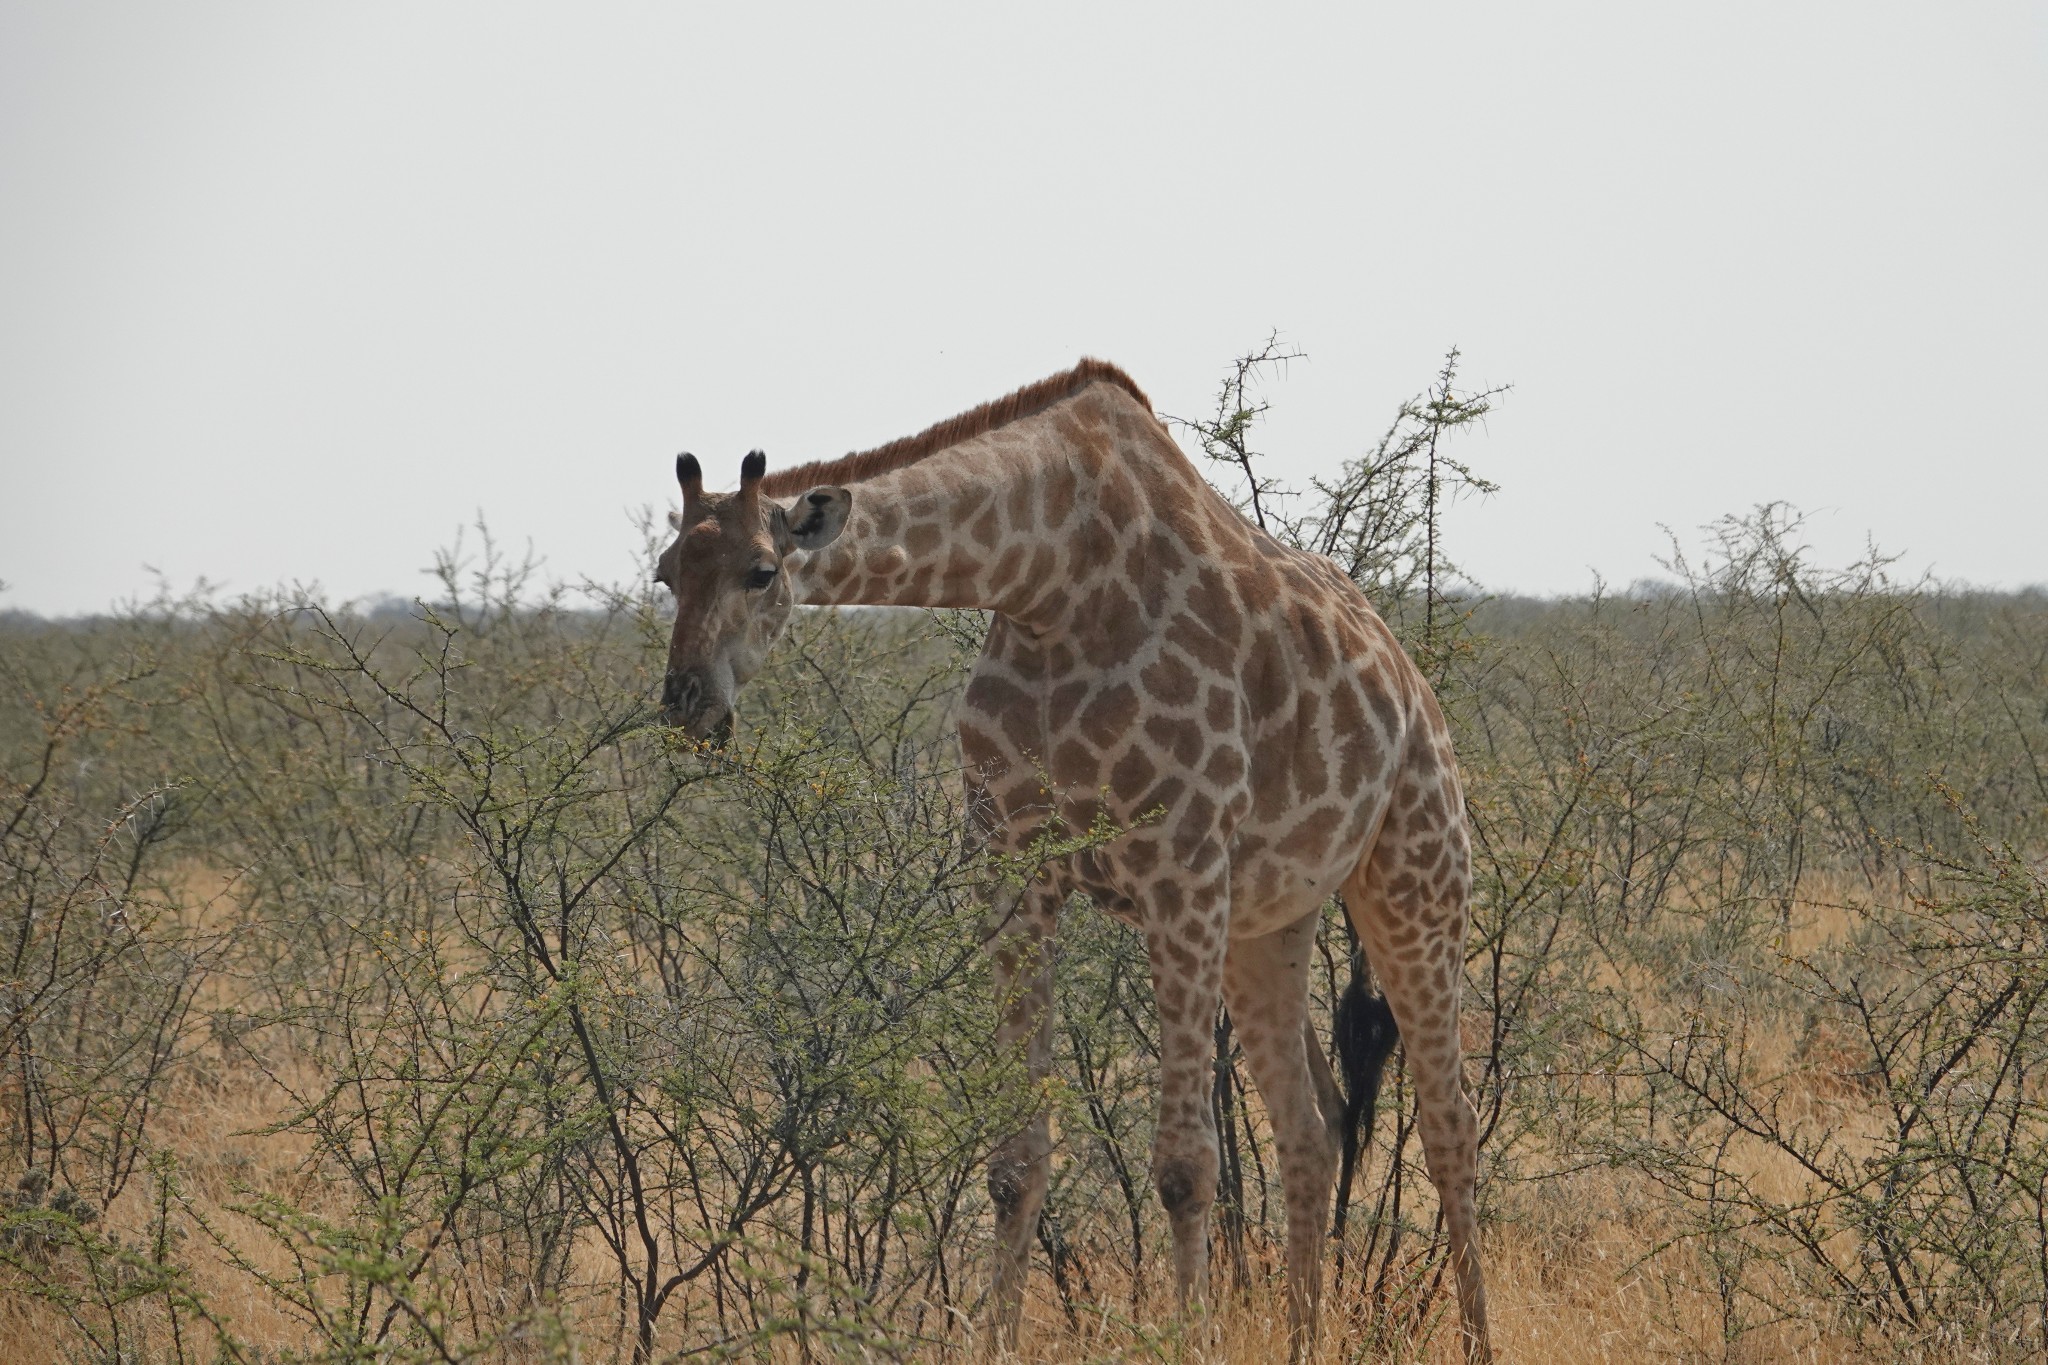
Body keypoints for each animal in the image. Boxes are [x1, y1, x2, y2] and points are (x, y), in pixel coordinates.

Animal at [663, 358, 1499, 1358]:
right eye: (666, 574)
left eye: (760, 571)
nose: (686, 702)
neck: (1048, 579)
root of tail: (1416, 688)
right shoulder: (1013, 870)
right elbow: (1015, 1159)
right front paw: (994, 1342)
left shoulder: (1181, 867)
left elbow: (1185, 1164)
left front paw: (1190, 1341)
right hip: (1271, 919)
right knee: (1315, 1124)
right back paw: (1303, 1339)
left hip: (1416, 874)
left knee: (1450, 1124)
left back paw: (1479, 1339)